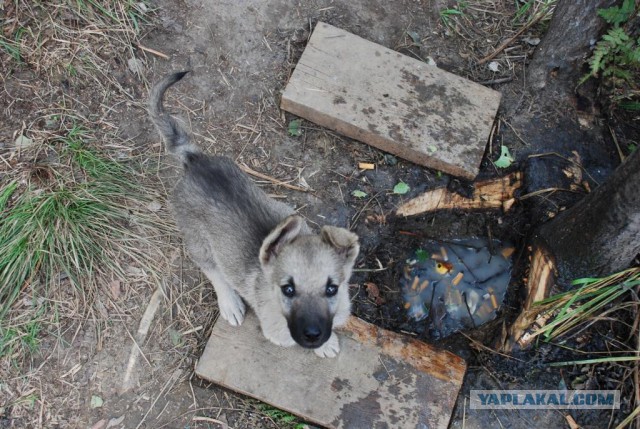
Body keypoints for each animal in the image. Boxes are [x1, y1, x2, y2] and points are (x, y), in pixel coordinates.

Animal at [149, 71, 360, 358]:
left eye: (331, 289)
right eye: (288, 289)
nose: (313, 335)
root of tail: (195, 161)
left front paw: (326, 343)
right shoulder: (278, 333)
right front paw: (323, 346)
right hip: (196, 240)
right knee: (213, 270)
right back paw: (229, 302)